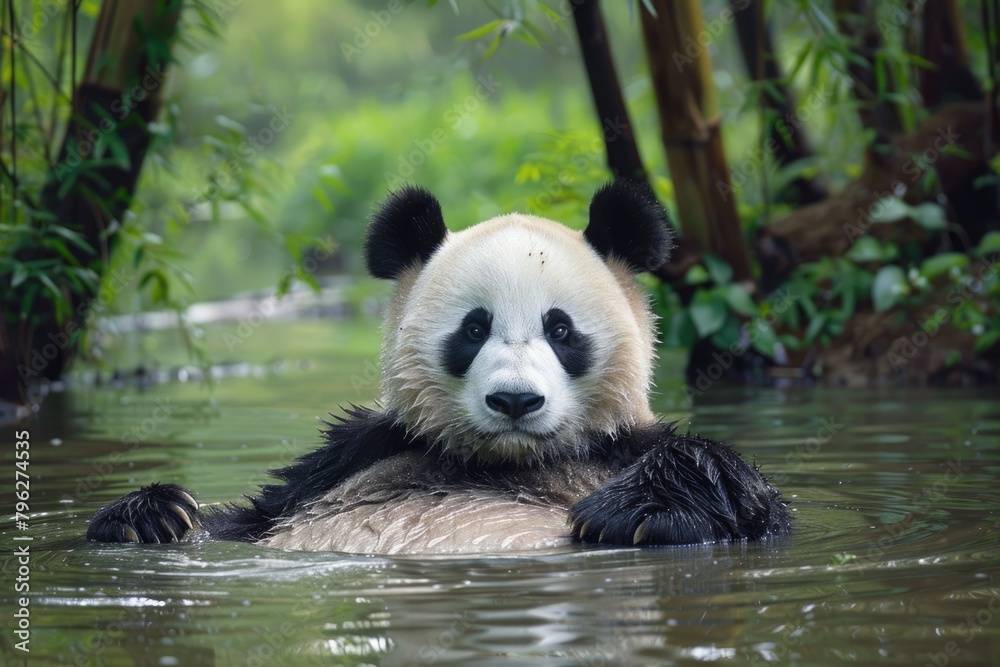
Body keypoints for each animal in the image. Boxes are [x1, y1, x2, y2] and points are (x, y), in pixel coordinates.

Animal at [87, 180, 791, 554]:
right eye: (474, 329)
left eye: (560, 329)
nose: (515, 402)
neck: (502, 461)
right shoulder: (353, 455)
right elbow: (242, 520)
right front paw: (157, 514)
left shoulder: (617, 449)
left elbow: (748, 499)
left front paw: (627, 510)